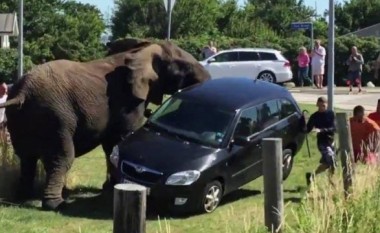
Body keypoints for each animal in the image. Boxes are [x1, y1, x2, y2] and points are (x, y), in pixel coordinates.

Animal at [0, 40, 211, 211]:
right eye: (184, 69)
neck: (144, 49)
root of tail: (23, 92)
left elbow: (111, 144)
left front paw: (108, 188)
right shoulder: (128, 101)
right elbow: (122, 137)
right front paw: (111, 188)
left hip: (19, 119)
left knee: (26, 158)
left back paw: (23, 197)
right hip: (56, 116)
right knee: (61, 157)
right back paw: (57, 204)